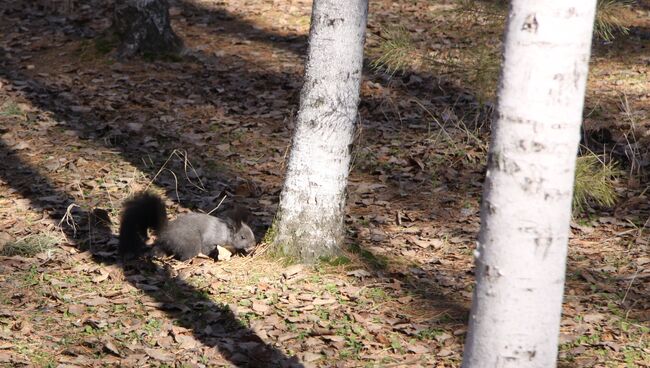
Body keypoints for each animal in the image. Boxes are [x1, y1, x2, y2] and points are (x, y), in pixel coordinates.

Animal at [119, 191, 256, 260]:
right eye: (242, 237)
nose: (253, 245)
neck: (225, 232)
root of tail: (165, 231)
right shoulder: (211, 240)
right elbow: (207, 248)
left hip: (165, 243)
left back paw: (156, 255)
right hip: (190, 243)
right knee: (185, 256)